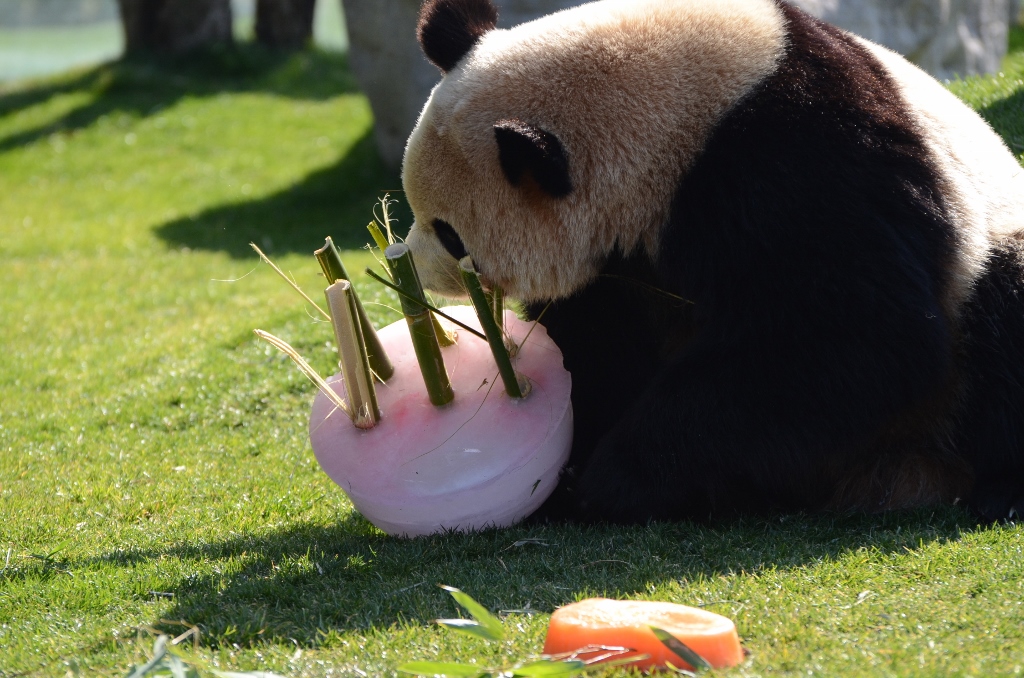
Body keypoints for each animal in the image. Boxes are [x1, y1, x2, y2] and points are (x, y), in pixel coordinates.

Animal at [397, 0, 1024, 524]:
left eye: (450, 234)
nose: (412, 269)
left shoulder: (794, 165)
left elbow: (854, 336)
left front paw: (614, 480)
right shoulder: (623, 263)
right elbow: (602, 341)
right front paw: (572, 465)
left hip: (983, 270)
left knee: (1001, 324)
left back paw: (1000, 490)